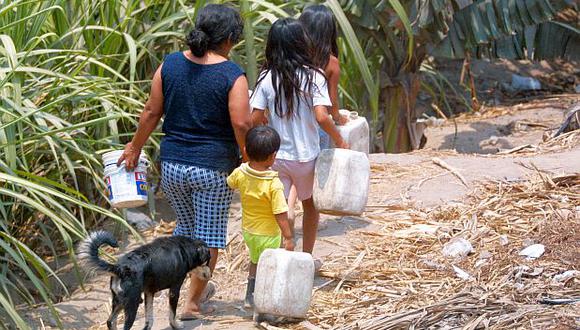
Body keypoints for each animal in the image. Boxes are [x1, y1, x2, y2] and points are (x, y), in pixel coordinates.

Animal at [78, 232, 212, 330]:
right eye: (207, 262)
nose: (210, 275)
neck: (184, 248)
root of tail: (120, 268)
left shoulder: (149, 293)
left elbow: (149, 319)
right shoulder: (174, 290)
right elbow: (172, 314)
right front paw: (176, 326)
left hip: (119, 301)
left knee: (110, 322)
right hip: (132, 303)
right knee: (124, 327)